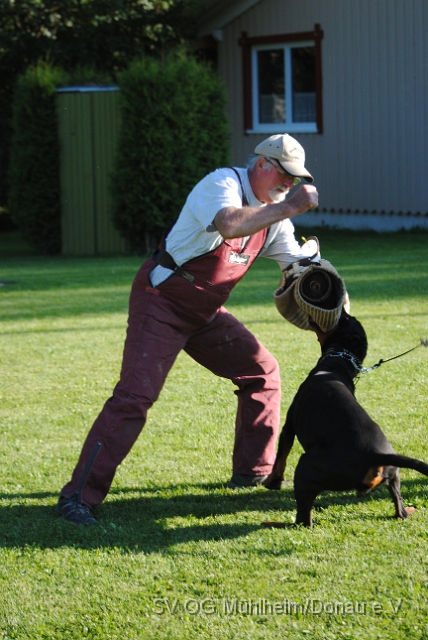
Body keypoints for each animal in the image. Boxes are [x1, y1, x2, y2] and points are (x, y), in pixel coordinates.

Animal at [264, 312, 428, 528]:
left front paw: (272, 482)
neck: (334, 365)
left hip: (307, 467)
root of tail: (375, 455)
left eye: (345, 320)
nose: (342, 311)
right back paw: (407, 510)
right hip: (394, 476)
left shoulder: (288, 427)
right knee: (399, 508)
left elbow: (280, 458)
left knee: (303, 520)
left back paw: (274, 523)